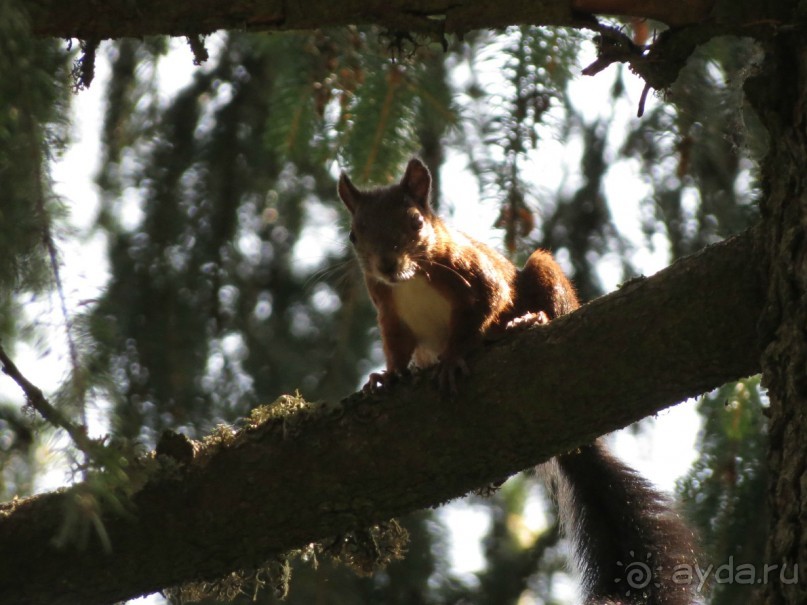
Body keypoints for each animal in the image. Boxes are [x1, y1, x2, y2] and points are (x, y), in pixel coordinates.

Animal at [338, 158, 696, 604]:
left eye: (416, 222)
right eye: (354, 234)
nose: (386, 265)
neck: (412, 279)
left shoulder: (474, 276)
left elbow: (483, 308)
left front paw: (453, 359)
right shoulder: (389, 313)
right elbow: (396, 349)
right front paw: (386, 378)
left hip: (543, 275)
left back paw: (524, 323)